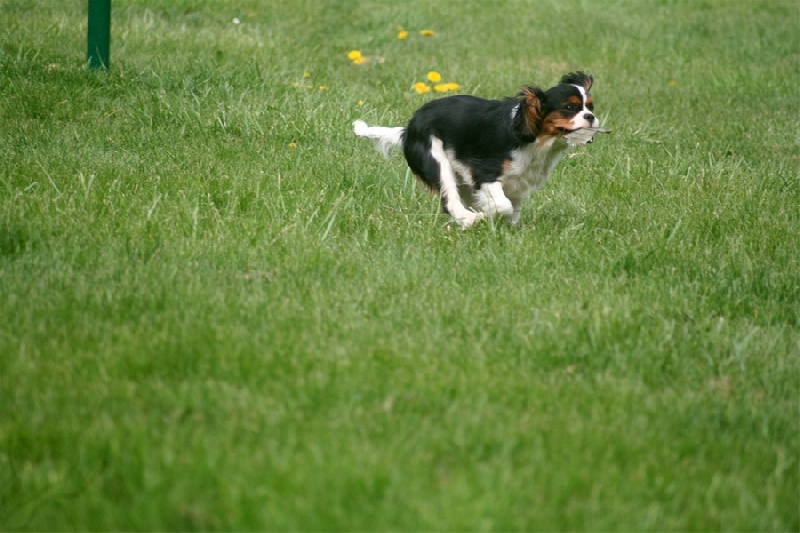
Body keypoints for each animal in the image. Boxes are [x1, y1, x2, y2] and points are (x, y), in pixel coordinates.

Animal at [354, 70, 604, 227]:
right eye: (569, 108)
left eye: (590, 107)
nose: (591, 117)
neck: (535, 139)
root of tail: (408, 130)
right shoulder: (485, 173)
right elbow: (503, 205)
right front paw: (485, 216)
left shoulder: (518, 182)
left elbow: (513, 210)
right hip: (436, 158)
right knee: (450, 202)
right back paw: (469, 219)